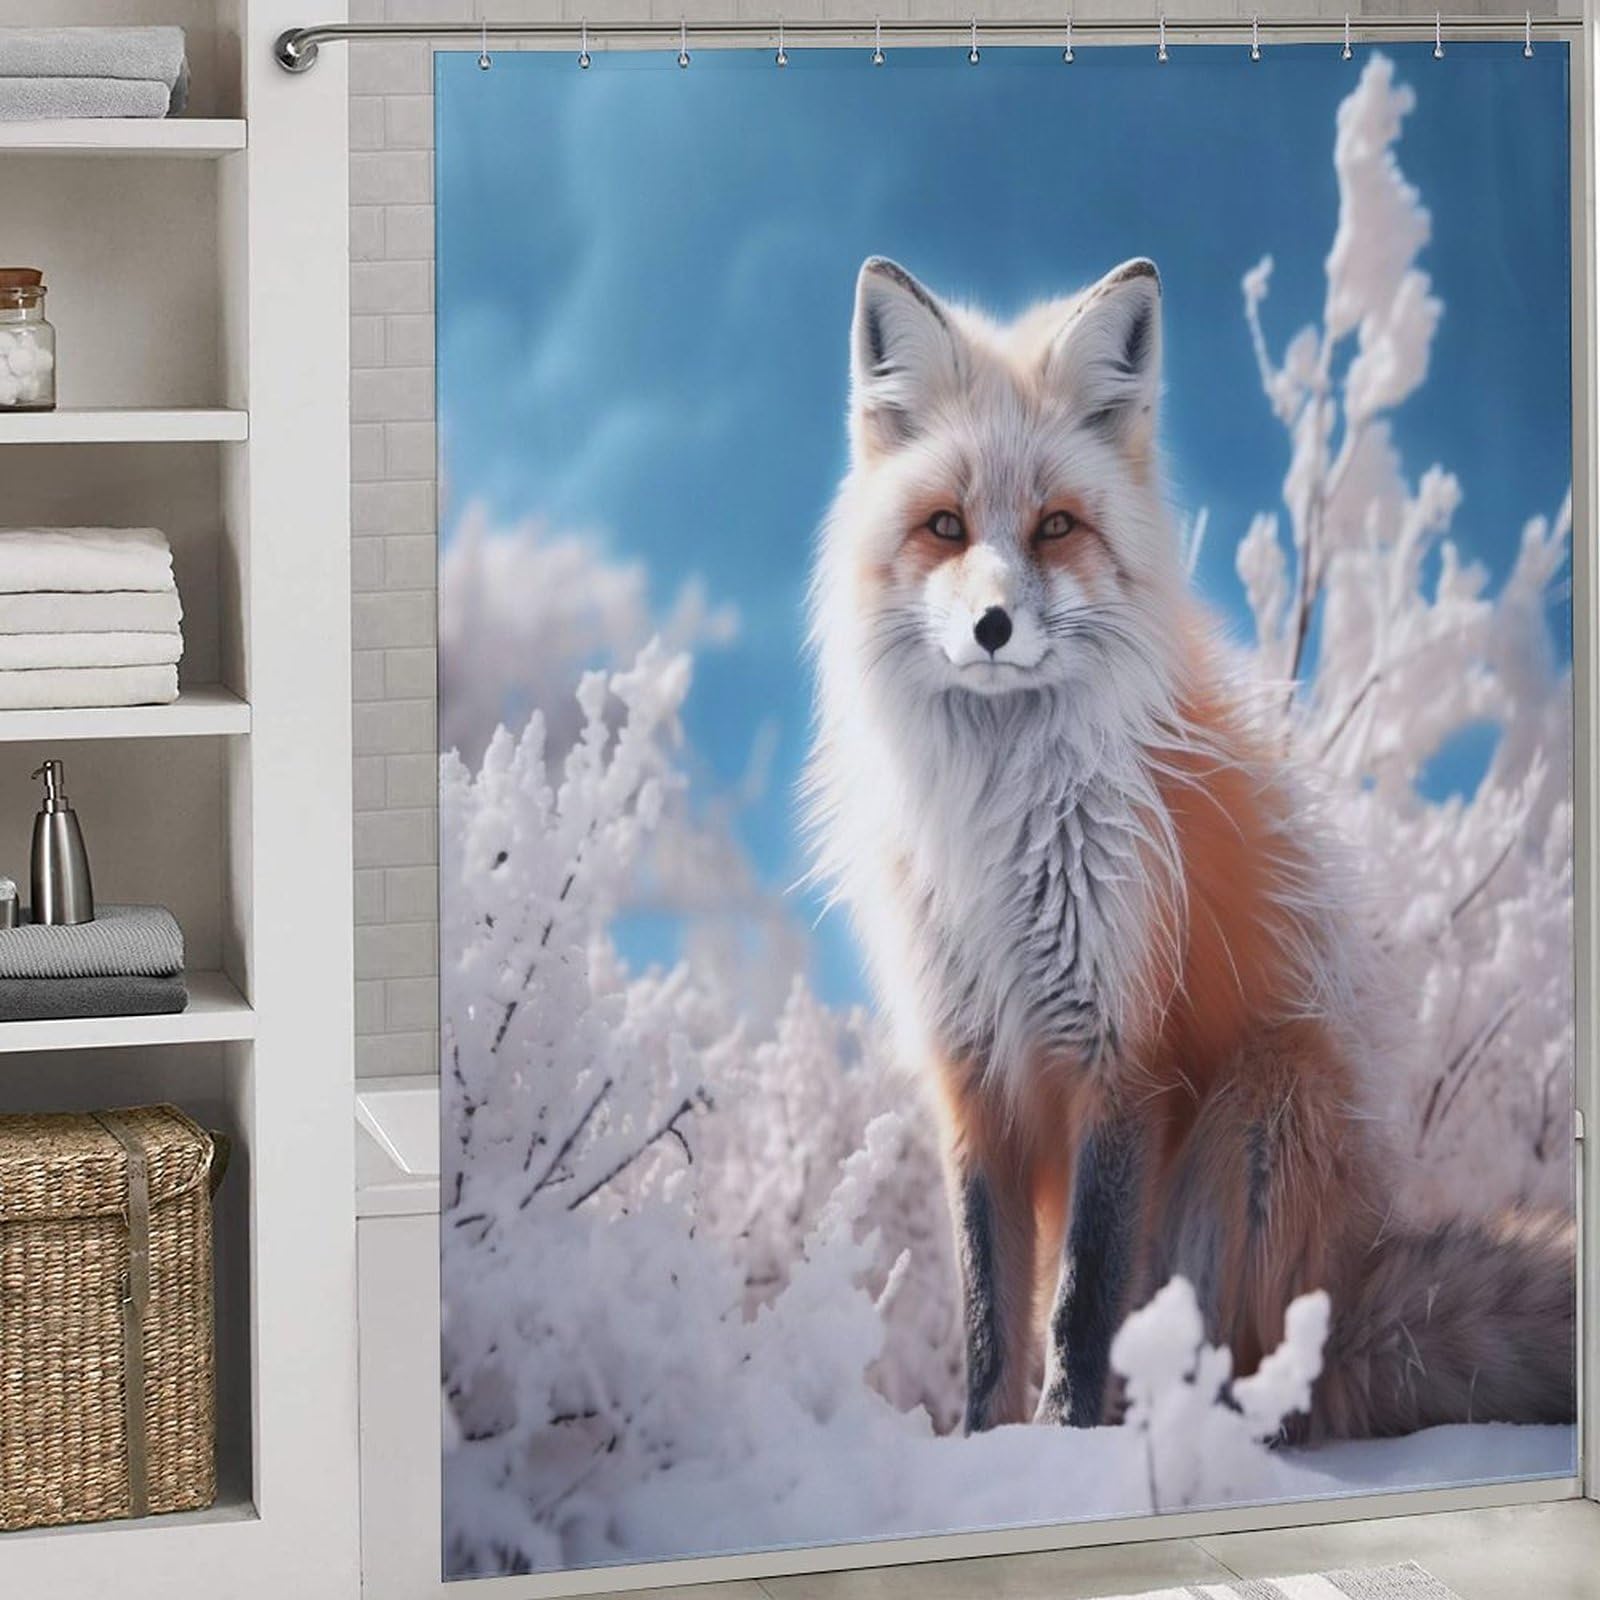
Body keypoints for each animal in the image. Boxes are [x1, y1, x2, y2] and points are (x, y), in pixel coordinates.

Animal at [804, 254, 1576, 1440]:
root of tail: (1353, 1277)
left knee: (1247, 1377)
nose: (992, 627)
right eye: (945, 525)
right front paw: (983, 1454)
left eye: (1055, 526)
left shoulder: (1123, 1052)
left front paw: (1063, 1451)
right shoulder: (970, 1069)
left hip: (1266, 1103)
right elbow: (989, 1314)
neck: (999, 818)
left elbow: (1078, 1303)